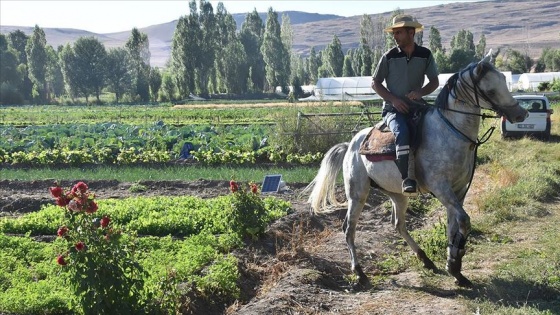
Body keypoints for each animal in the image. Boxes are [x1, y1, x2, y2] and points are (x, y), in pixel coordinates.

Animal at [304, 52, 528, 288]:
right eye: (491, 90)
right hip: (357, 195)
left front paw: (455, 268)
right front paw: (456, 261)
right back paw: (359, 272)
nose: (521, 114)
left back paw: (425, 259)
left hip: (398, 194)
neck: (449, 132)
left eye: (504, 81)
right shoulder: (441, 188)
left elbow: (453, 224)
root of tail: (351, 145)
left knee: (398, 224)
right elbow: (464, 221)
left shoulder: (457, 191)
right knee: (349, 228)